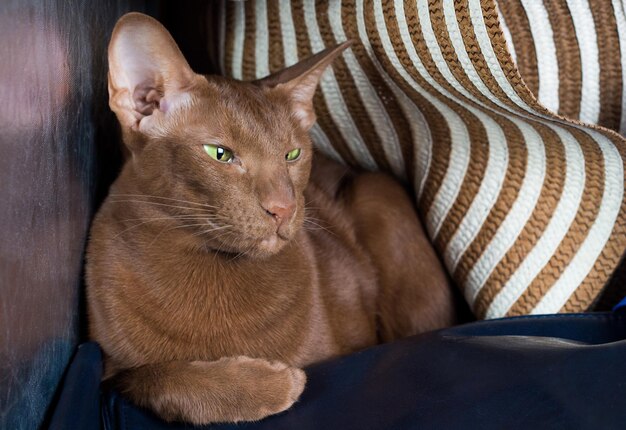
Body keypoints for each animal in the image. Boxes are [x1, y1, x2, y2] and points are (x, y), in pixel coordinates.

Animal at [85, 11, 456, 424]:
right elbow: (155, 377)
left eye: (292, 155)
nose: (283, 207)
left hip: (379, 194)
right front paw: (271, 385)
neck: (212, 266)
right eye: (219, 154)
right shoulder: (110, 373)